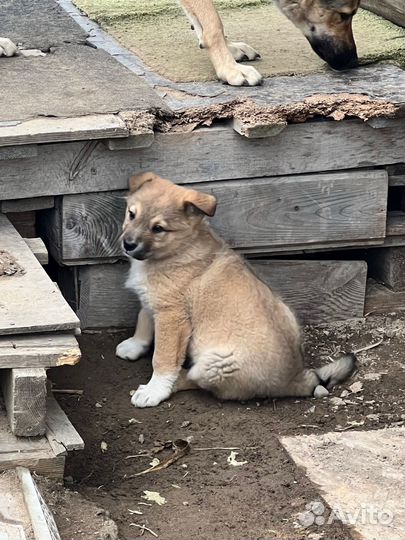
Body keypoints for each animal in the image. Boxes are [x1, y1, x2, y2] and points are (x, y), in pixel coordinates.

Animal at [114, 175, 354, 408]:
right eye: (132, 214)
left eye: (158, 229)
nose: (128, 244)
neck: (177, 249)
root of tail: (295, 378)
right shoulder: (154, 301)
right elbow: (143, 319)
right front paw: (134, 346)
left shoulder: (171, 316)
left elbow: (162, 357)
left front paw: (155, 390)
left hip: (214, 363)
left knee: (196, 380)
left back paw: (173, 382)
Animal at [178, 0, 358, 85]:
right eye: (344, 15)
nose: (353, 61)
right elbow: (213, 23)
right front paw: (229, 68)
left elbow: (202, 21)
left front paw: (229, 48)